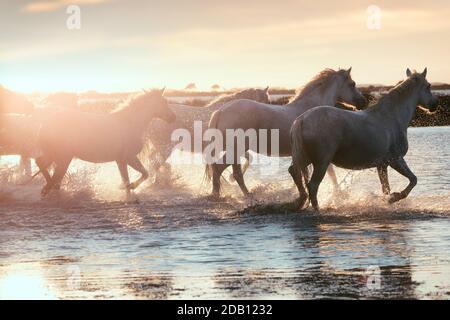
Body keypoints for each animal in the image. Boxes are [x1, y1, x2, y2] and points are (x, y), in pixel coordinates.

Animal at [34, 88, 176, 198]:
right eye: (163, 102)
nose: (173, 117)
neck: (129, 124)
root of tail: (45, 123)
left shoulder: (122, 160)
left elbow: (134, 176)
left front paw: (128, 189)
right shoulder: (127, 158)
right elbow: (139, 176)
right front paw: (130, 188)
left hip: (56, 156)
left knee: (42, 163)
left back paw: (50, 188)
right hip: (64, 157)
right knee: (54, 172)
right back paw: (49, 188)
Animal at [206, 68, 368, 198]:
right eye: (352, 84)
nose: (363, 102)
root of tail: (221, 111)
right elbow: (330, 174)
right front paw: (339, 193)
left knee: (223, 170)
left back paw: (221, 194)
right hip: (236, 150)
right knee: (227, 170)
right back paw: (245, 195)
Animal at [290, 68, 438, 210]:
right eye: (428, 86)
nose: (435, 105)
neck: (391, 117)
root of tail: (301, 120)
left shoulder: (382, 165)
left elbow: (386, 188)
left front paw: (387, 201)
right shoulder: (396, 160)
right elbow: (413, 180)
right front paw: (393, 198)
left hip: (307, 159)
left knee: (295, 173)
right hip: (321, 163)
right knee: (313, 186)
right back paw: (316, 209)